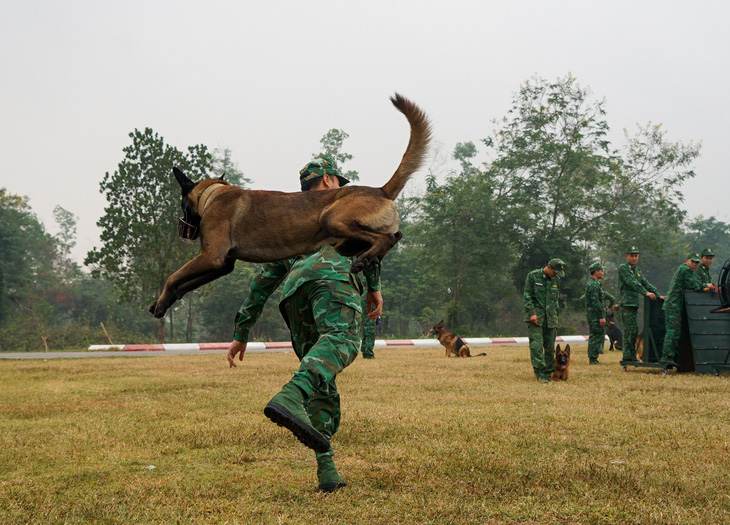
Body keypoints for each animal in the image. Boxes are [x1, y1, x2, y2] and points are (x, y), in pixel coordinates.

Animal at [150, 93, 430, 316]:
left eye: (182, 203)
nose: (182, 229)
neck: (212, 194)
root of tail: (381, 190)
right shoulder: (223, 264)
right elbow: (183, 283)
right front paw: (164, 302)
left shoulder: (211, 256)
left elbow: (172, 276)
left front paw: (161, 300)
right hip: (343, 242)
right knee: (392, 237)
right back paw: (369, 259)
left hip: (331, 218)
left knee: (385, 238)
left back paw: (366, 259)